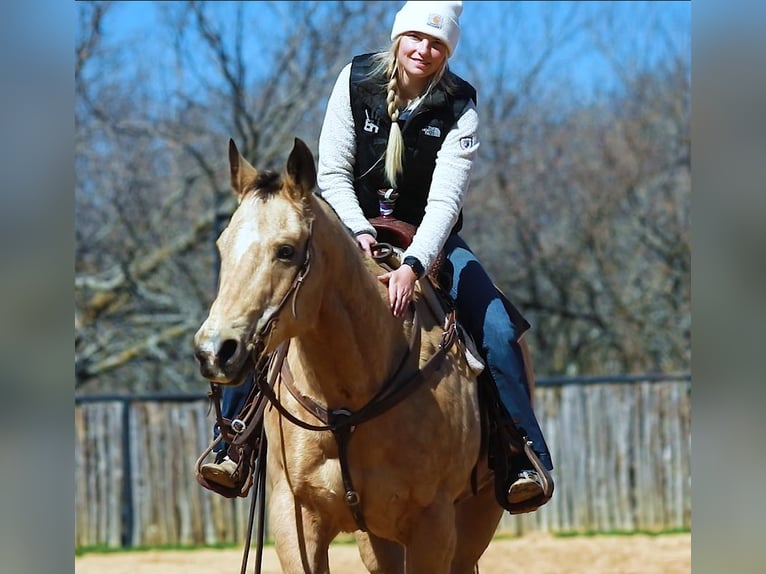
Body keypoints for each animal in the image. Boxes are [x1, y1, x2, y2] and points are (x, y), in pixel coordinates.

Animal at [192, 140, 508, 574]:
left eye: (286, 250)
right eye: (223, 246)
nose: (214, 350)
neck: (349, 398)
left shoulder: (434, 526)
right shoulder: (294, 518)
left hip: (475, 521)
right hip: (377, 539)